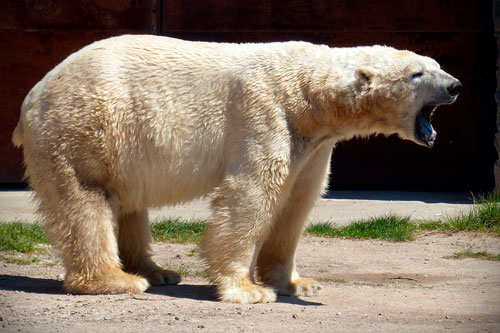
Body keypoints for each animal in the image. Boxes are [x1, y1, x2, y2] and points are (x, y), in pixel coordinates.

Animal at [10, 35, 460, 302]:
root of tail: (33, 95)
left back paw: (158, 272)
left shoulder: (313, 144)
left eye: (433, 62)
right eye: (417, 73)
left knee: (128, 204)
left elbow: (296, 203)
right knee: (87, 200)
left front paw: (296, 282)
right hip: (85, 128)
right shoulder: (264, 114)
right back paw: (116, 280)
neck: (308, 94)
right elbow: (253, 194)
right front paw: (247, 289)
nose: (455, 85)